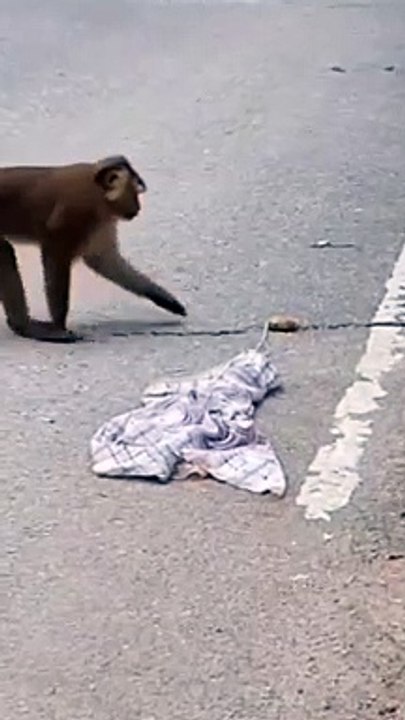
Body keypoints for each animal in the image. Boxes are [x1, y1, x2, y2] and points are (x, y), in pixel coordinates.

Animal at [0, 155, 187, 343]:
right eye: (136, 191)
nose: (138, 207)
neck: (99, 193)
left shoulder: (101, 220)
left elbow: (103, 260)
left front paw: (165, 298)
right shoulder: (77, 209)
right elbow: (55, 253)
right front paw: (59, 326)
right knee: (5, 252)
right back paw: (23, 327)